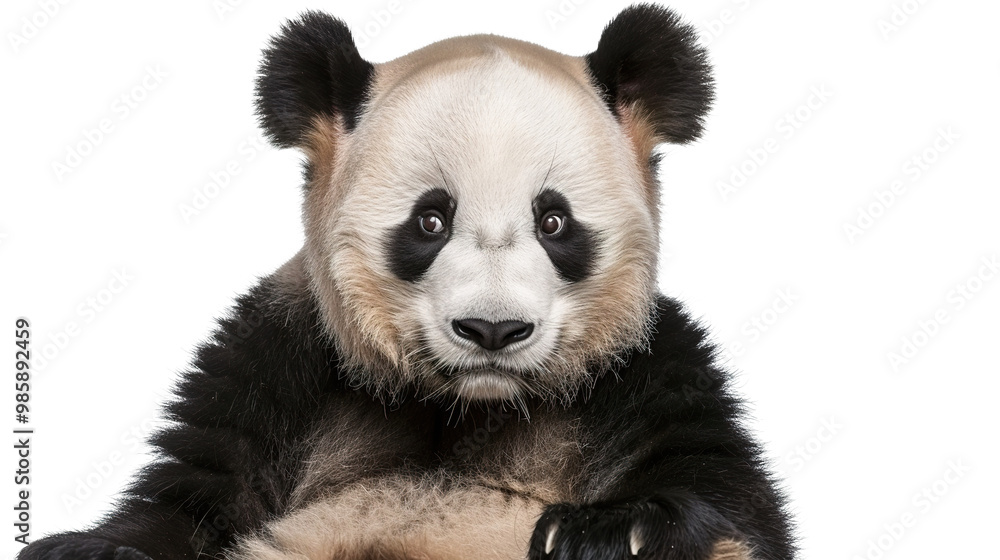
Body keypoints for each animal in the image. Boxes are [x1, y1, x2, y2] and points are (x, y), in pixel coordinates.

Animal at [21, 4, 794, 560]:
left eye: (553, 221)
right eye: (430, 220)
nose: (492, 331)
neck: (470, 406)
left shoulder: (643, 369)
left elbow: (734, 501)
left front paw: (608, 530)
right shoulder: (281, 359)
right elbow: (194, 497)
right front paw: (88, 549)